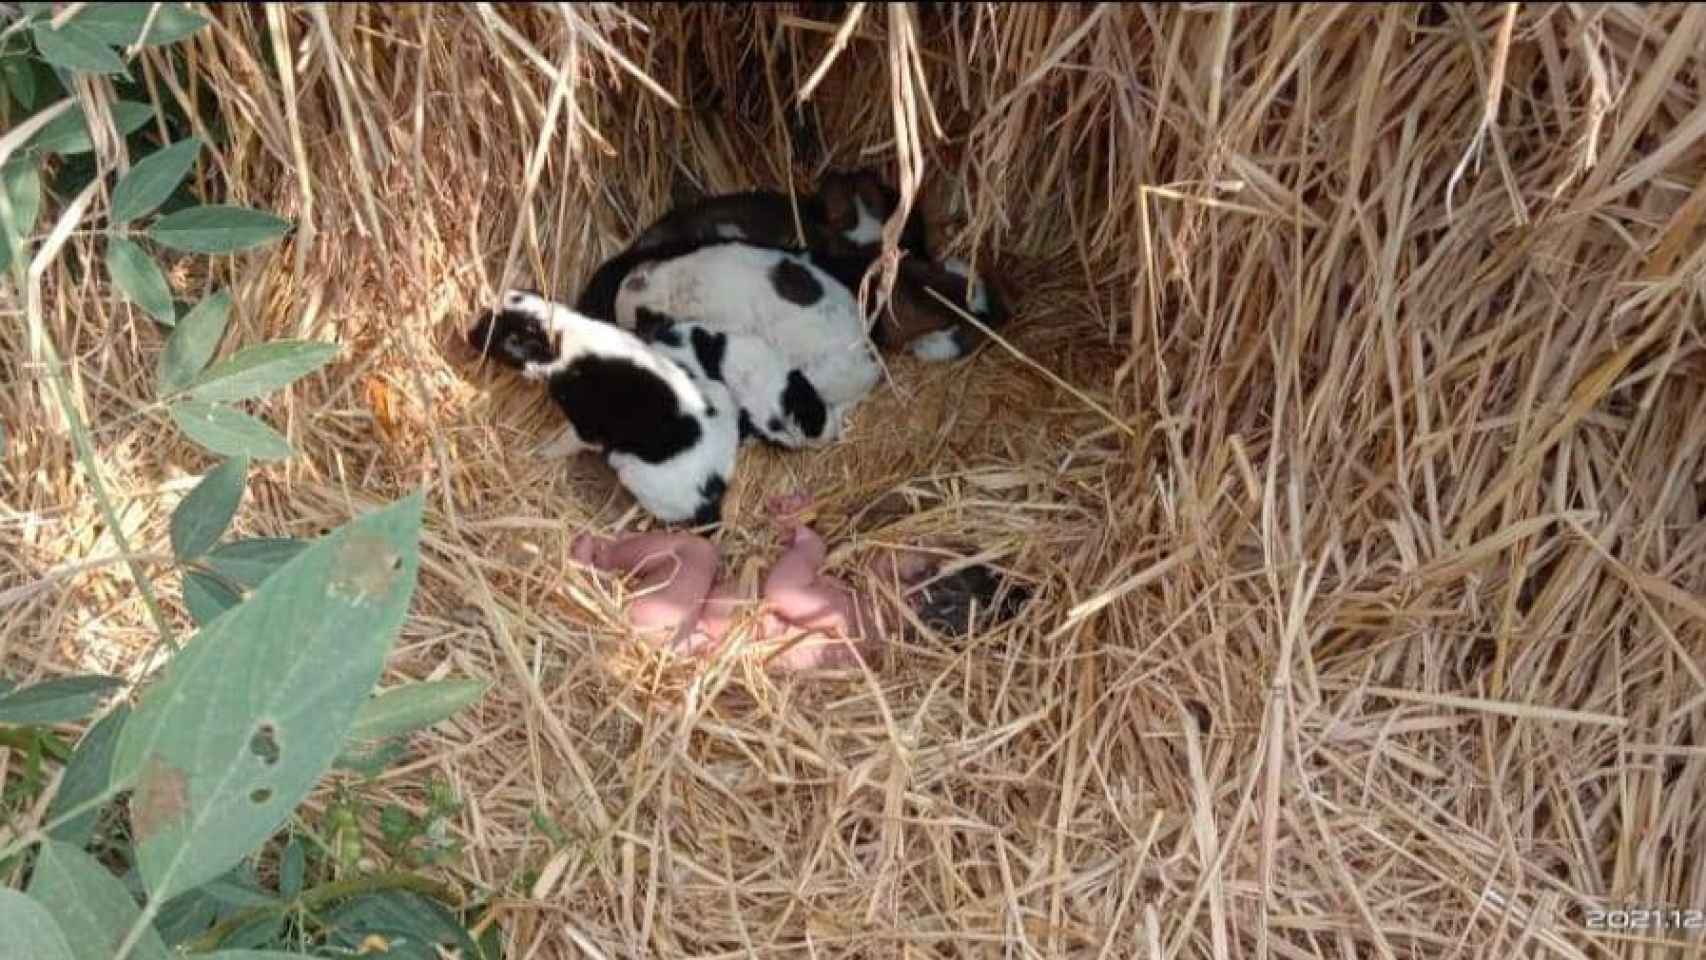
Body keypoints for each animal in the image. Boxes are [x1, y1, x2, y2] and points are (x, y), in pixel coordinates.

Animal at [467, 291, 740, 525]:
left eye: (511, 340)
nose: (469, 334)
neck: (568, 338)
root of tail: (711, 492)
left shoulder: (587, 427)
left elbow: (562, 443)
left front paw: (541, 452)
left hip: (632, 472)